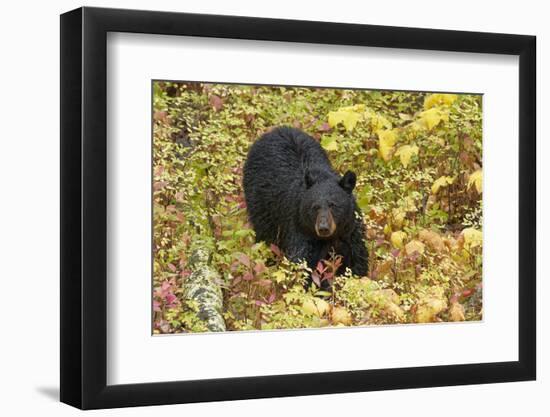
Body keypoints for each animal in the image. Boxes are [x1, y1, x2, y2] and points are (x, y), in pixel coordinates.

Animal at [244, 125, 368, 284]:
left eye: (333, 205)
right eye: (315, 207)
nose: (323, 228)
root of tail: (276, 130)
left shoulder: (350, 230)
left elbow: (356, 259)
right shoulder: (300, 228)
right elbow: (304, 263)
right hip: (262, 205)